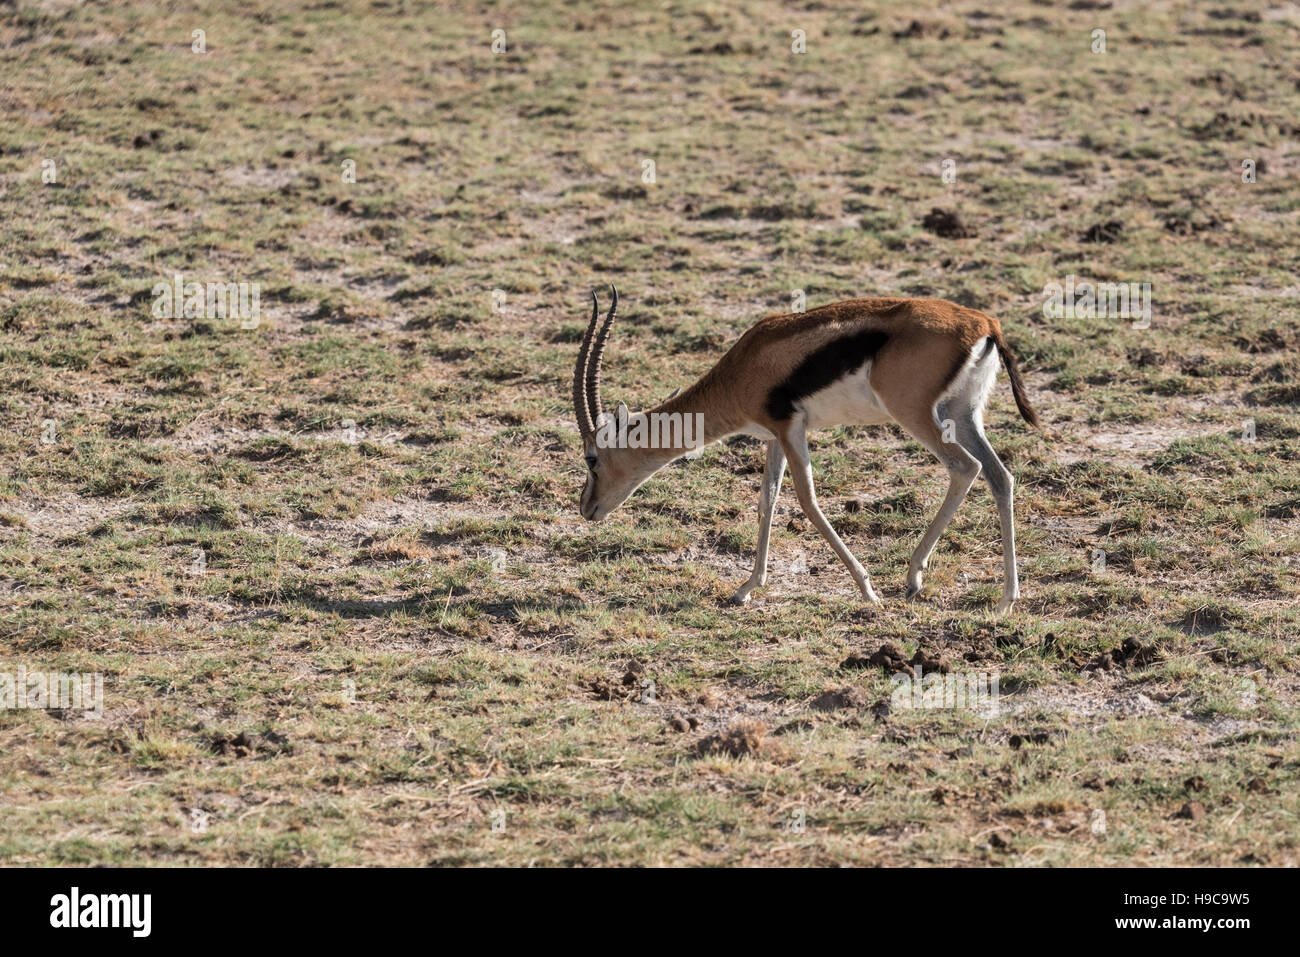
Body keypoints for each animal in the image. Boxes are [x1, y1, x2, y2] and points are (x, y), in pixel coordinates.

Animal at [573, 286, 1040, 615]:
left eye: (592, 459)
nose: (586, 508)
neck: (742, 369)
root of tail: (985, 323)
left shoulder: (789, 428)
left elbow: (808, 501)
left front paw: (867, 590)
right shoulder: (776, 437)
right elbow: (767, 499)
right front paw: (746, 589)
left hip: (916, 415)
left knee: (965, 468)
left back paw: (915, 579)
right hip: (963, 415)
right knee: (999, 475)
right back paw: (1004, 599)